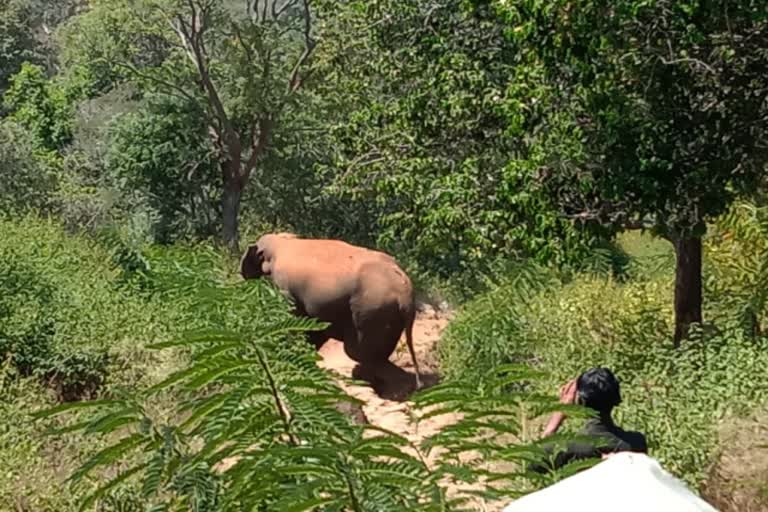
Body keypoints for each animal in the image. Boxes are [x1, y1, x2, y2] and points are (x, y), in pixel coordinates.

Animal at [240, 233, 424, 388]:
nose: (241, 274)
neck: (282, 241)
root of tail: (405, 294)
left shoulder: (285, 287)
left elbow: (292, 315)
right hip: (388, 317)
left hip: (371, 310)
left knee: (358, 351)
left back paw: (363, 379)